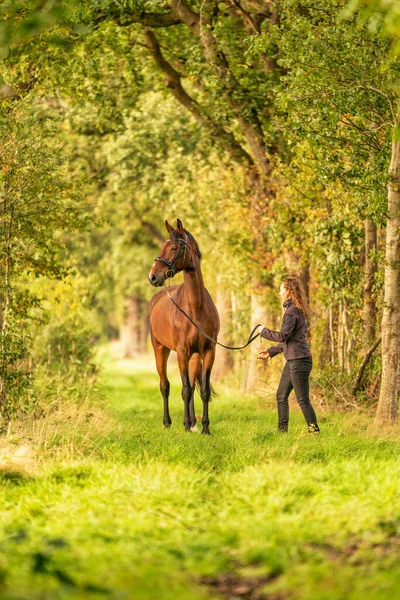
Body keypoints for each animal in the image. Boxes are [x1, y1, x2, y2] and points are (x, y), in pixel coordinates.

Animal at [148, 218, 220, 434]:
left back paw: (192, 423)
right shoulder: (181, 351)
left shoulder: (209, 351)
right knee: (165, 385)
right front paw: (187, 427)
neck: (195, 307)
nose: (152, 277)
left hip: (194, 356)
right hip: (160, 349)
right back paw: (168, 422)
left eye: (173, 248)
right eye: (161, 247)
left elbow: (203, 391)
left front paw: (205, 428)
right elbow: (185, 390)